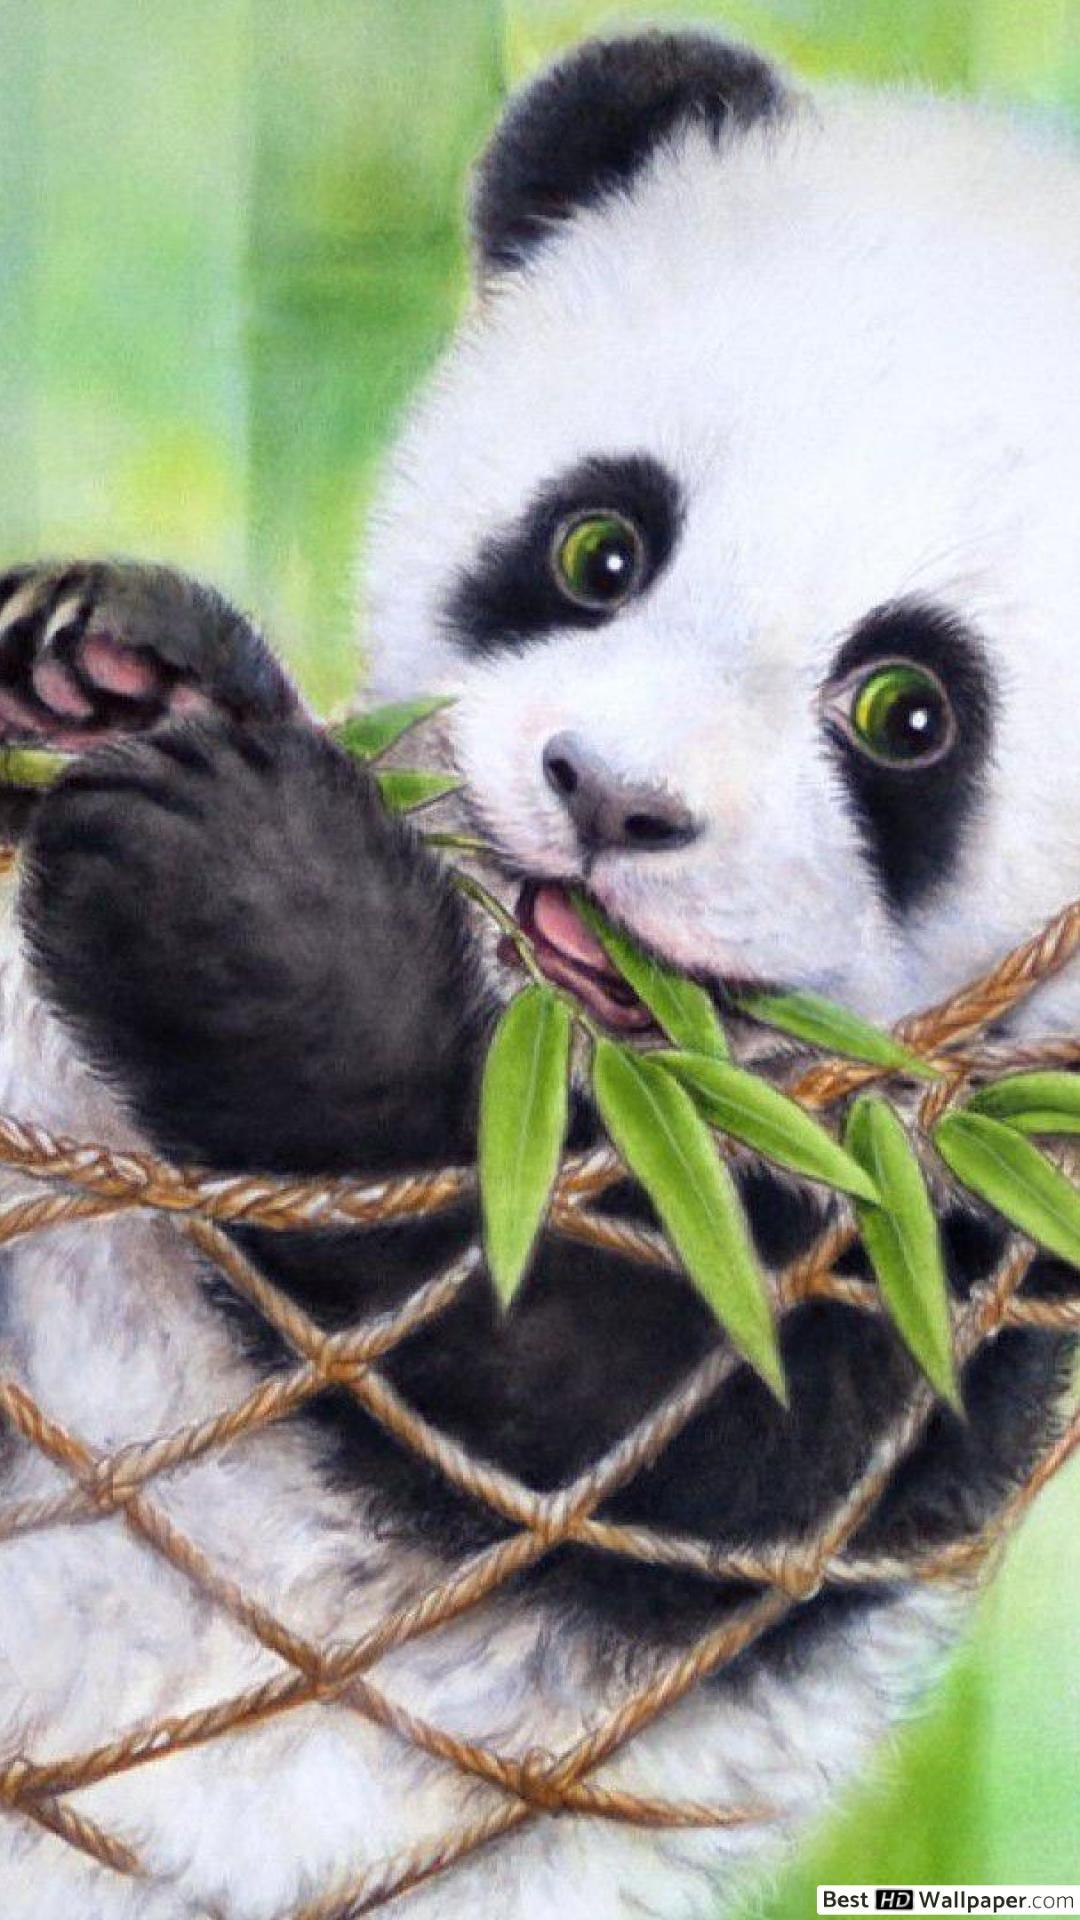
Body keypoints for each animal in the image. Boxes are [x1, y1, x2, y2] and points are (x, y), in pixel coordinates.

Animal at [0, 28, 1075, 1920]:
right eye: (598, 548)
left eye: (909, 712)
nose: (609, 799)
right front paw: (116, 659)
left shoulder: (965, 1253)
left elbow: (605, 1384)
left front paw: (251, 904)